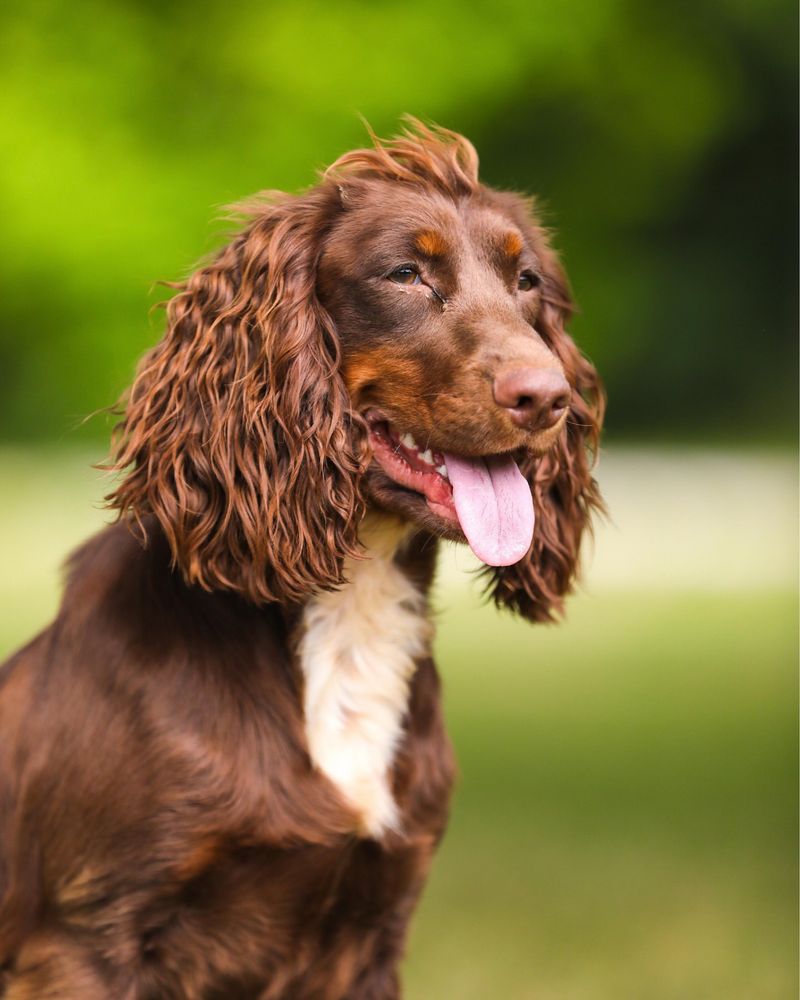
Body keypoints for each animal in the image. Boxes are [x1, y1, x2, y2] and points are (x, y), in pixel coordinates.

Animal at [0, 121, 600, 996]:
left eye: (526, 281)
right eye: (404, 274)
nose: (549, 398)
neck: (348, 608)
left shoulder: (373, 927)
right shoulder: (84, 937)